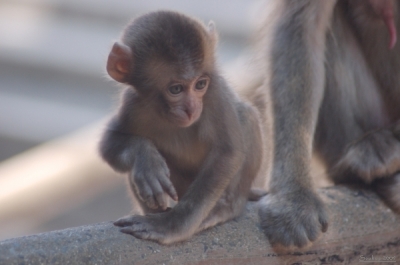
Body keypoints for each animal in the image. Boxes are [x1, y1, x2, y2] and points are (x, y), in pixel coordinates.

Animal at [99, 10, 264, 243]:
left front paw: (170, 225)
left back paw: (226, 208)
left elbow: (228, 152)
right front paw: (146, 160)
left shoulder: (214, 93)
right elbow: (110, 141)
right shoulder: (132, 102)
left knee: (247, 115)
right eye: (176, 89)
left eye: (200, 84)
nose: (191, 108)